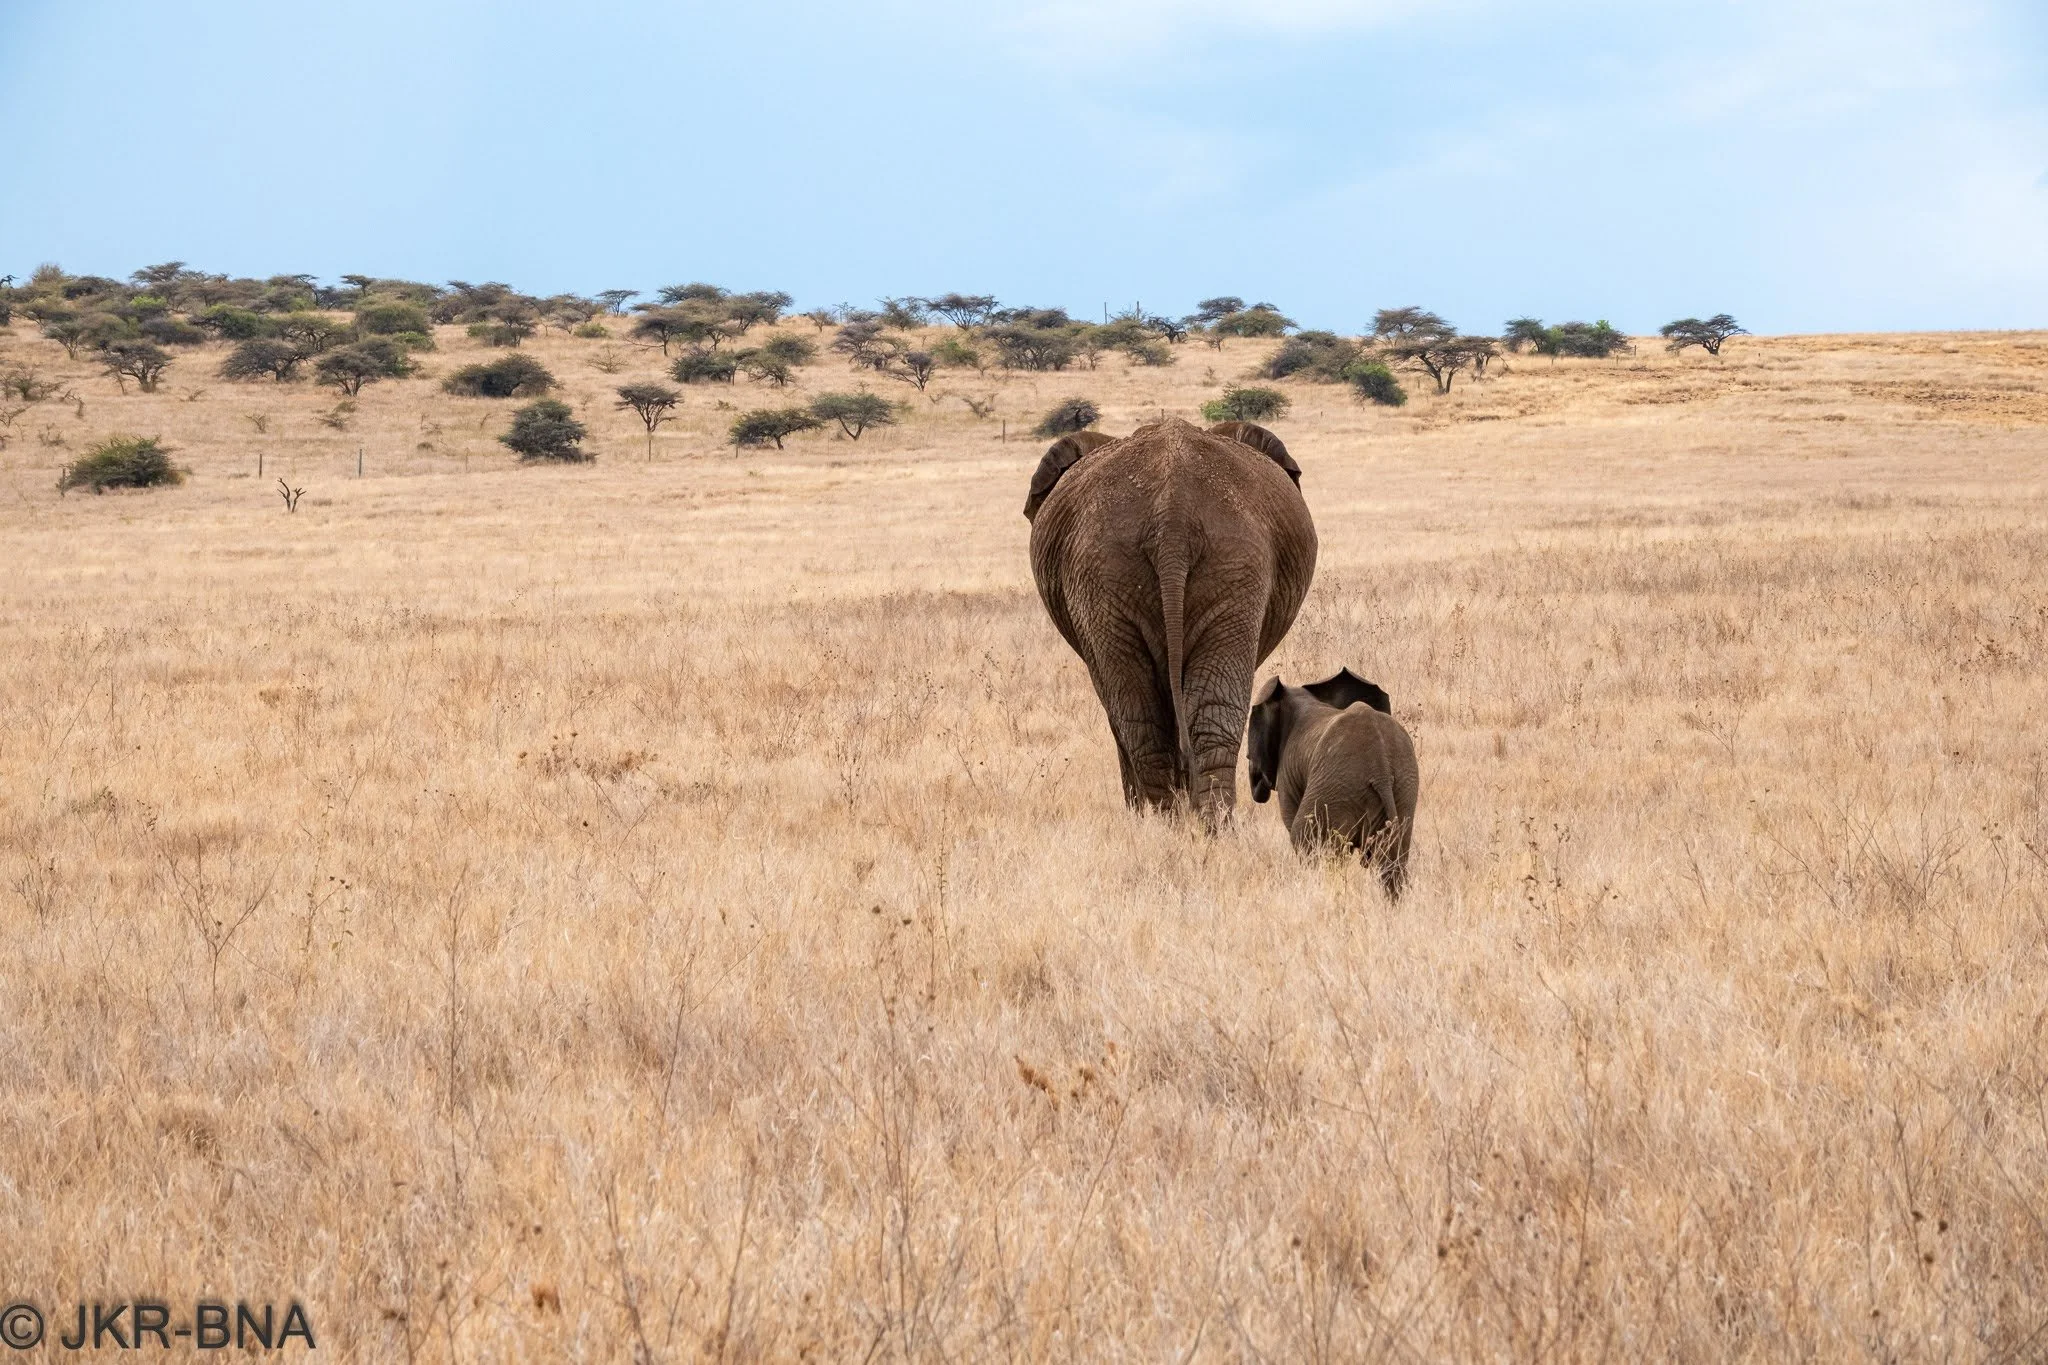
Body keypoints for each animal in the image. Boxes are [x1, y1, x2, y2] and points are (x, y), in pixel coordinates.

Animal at [1024, 416, 1318, 822]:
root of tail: (1172, 514)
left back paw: (1172, 821)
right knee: (1189, 716)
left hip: (1175, 567)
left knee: (1144, 719)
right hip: (1191, 568)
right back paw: (1195, 824)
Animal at [1246, 668, 1419, 897]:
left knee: (1305, 838)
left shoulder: (1287, 773)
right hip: (1404, 786)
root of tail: (1380, 768)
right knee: (1391, 863)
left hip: (1336, 787)